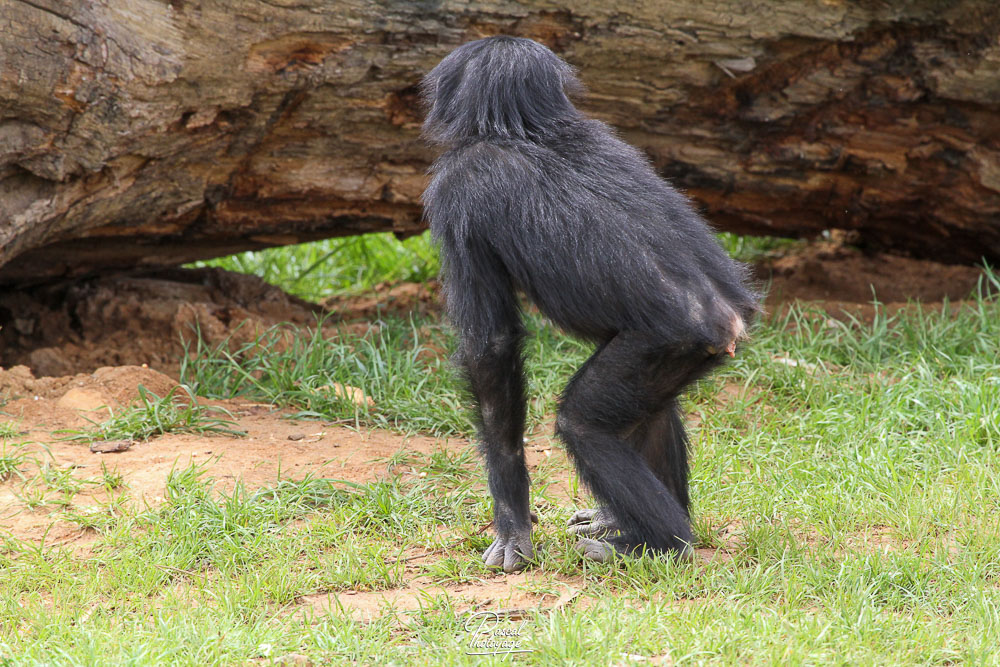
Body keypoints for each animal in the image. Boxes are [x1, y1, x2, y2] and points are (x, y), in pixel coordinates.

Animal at [421, 36, 760, 572]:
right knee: (651, 412)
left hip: (663, 344)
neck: (525, 130)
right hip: (679, 357)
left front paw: (512, 526)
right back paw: (622, 523)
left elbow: (491, 346)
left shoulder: (456, 191)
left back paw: (660, 543)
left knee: (582, 425)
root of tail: (730, 321)